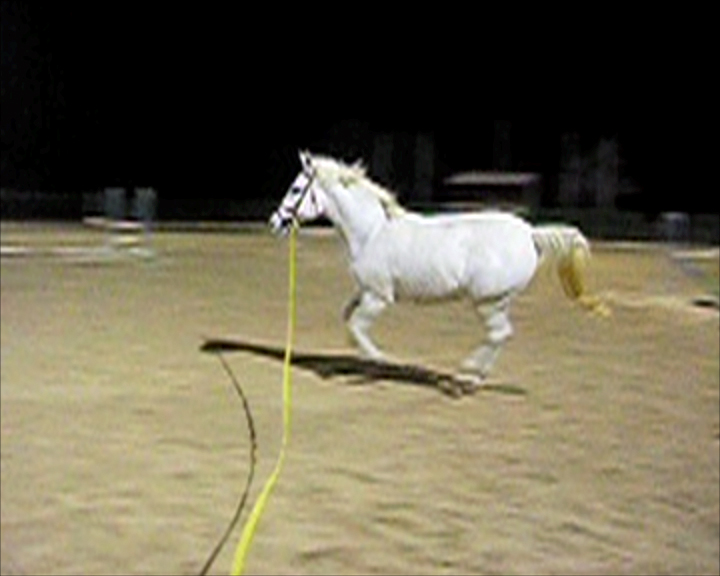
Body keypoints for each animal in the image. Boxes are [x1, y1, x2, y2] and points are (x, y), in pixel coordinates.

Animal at [269, 150, 608, 392]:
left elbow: (357, 327)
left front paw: (382, 364)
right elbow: (348, 320)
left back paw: (464, 378)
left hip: (487, 302)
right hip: (498, 302)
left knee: (499, 334)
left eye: (296, 188)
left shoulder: (378, 297)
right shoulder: (365, 292)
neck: (372, 232)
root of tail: (530, 233)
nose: (275, 222)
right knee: (502, 335)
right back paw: (470, 377)